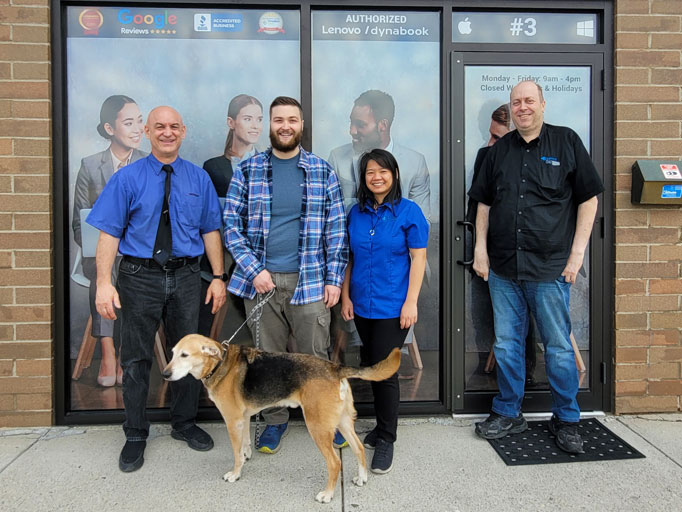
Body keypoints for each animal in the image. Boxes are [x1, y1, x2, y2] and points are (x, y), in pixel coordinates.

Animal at [163, 332, 402, 504]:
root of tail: (335, 368)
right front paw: (247, 454)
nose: (164, 374)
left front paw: (235, 473)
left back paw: (327, 494)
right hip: (343, 421)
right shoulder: (244, 418)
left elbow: (236, 453)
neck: (218, 364)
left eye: (185, 355)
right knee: (359, 448)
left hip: (317, 427)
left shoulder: (232, 421)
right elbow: (245, 444)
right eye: (172, 353)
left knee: (335, 463)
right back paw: (362, 478)